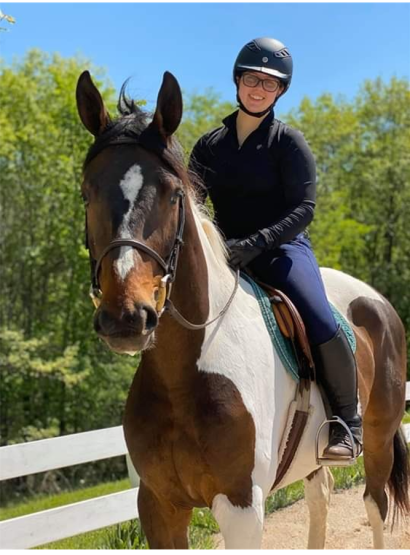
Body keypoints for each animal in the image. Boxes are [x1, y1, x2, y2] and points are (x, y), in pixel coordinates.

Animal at [75, 70, 408, 552]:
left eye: (173, 195)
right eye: (87, 193)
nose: (126, 317)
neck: (183, 373)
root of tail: (376, 301)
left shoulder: (241, 508)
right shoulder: (158, 506)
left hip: (379, 437)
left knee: (375, 504)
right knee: (321, 499)